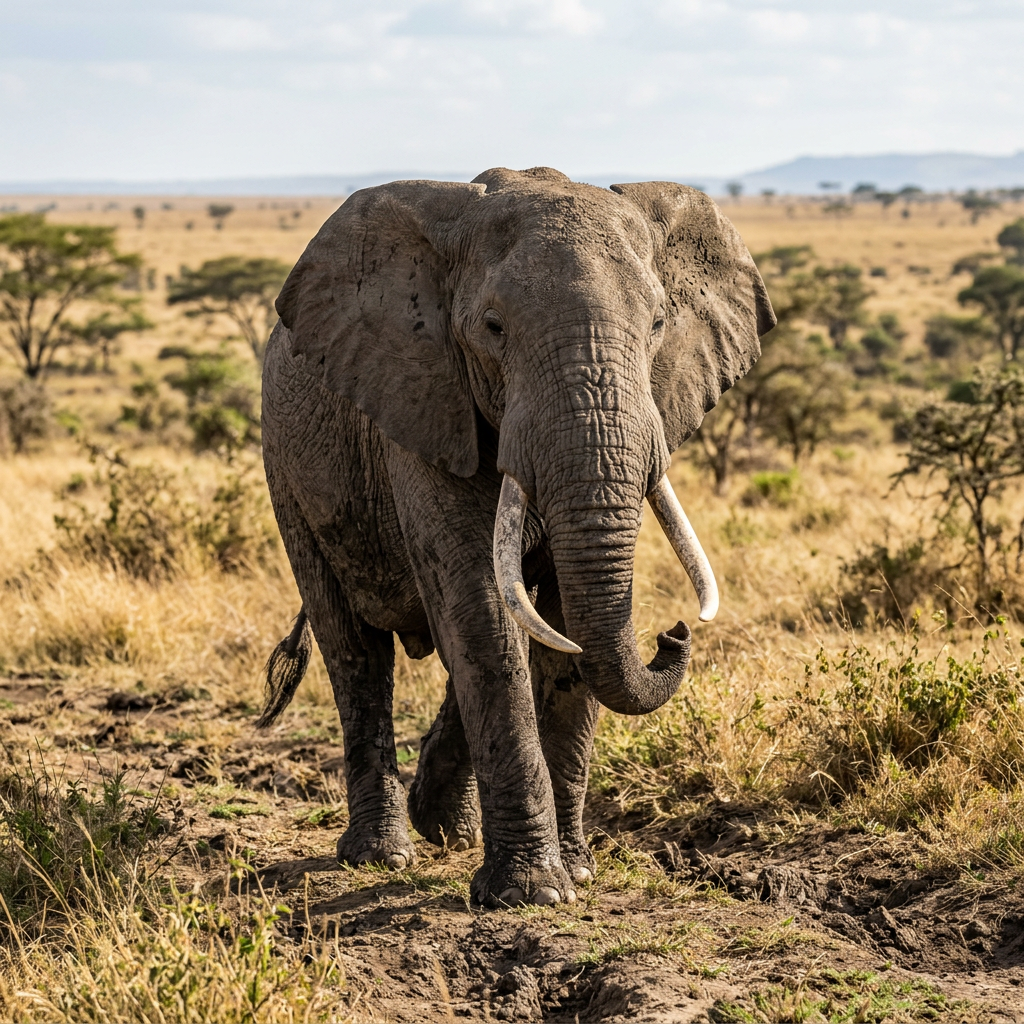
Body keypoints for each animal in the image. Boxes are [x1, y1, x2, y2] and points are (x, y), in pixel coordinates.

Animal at [258, 166, 775, 908]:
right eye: (493, 328)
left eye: (657, 323)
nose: (675, 634)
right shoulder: (422, 399)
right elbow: (480, 612)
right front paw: (532, 893)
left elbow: (559, 629)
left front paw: (577, 872)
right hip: (287, 469)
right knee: (354, 649)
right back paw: (381, 855)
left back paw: (447, 828)